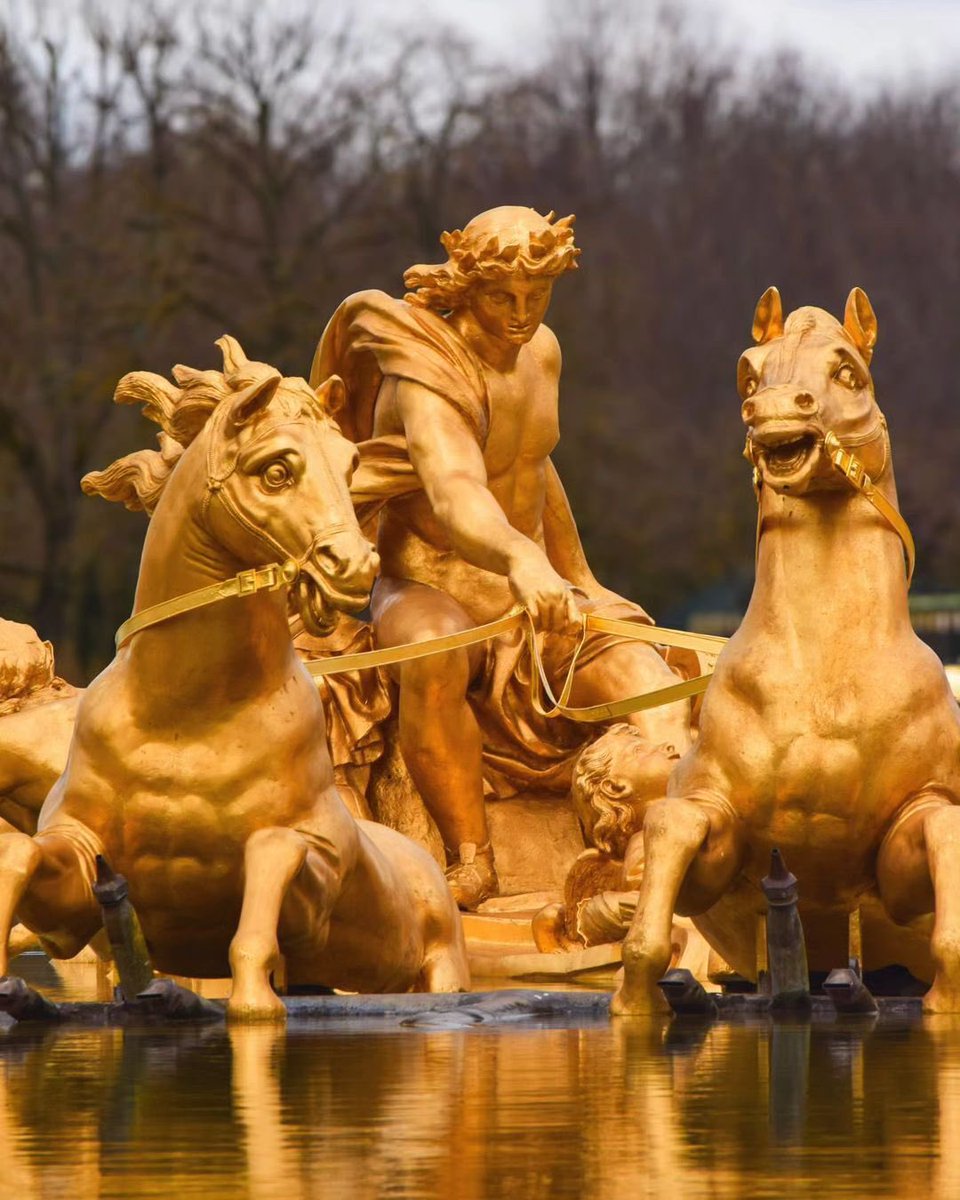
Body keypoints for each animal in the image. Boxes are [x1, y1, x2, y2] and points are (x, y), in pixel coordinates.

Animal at [0, 340, 468, 1022]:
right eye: (275, 471)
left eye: (352, 463)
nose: (354, 567)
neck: (183, 721)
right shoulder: (81, 874)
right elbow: (20, 854)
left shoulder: (317, 876)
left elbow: (268, 863)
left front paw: (250, 998)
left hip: (437, 968)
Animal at [612, 288, 960, 1012]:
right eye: (748, 374)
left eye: (849, 371)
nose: (773, 409)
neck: (825, 674)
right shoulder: (720, 846)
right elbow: (669, 826)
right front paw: (637, 998)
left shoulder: (904, 849)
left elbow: (946, 835)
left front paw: (945, 998)